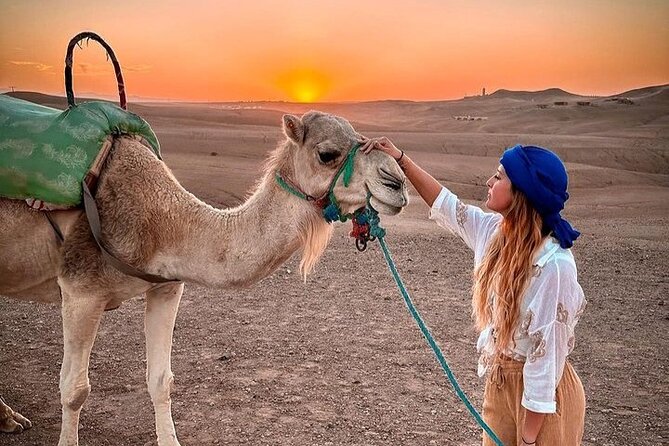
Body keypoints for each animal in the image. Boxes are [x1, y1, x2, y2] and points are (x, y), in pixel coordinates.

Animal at [0, 110, 409, 446]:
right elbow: (74, 389)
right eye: (327, 154)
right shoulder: (80, 290)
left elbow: (161, 381)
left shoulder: (166, 286)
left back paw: (10, 419)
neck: (160, 219)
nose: (398, 183)